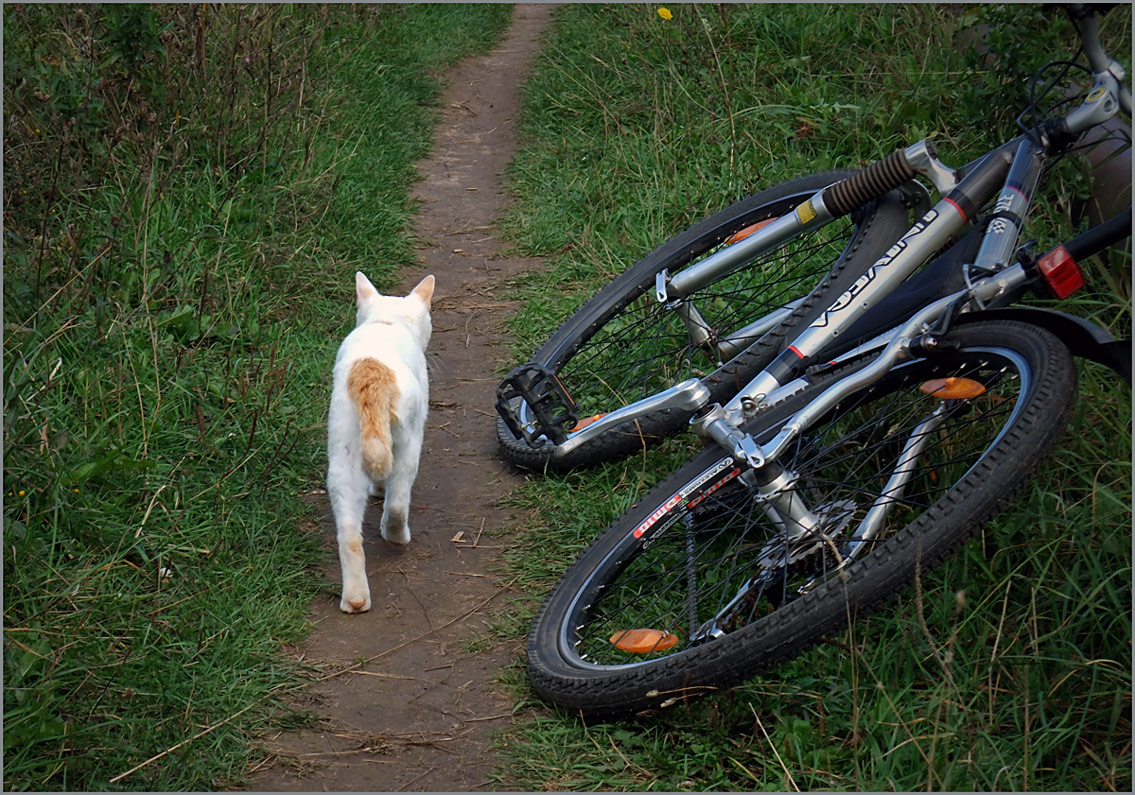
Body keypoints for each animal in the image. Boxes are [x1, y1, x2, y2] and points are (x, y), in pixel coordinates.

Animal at [331, 273, 435, 613]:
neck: (386, 322)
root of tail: (371, 372)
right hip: (409, 443)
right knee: (398, 502)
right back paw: (397, 536)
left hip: (342, 460)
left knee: (349, 535)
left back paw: (355, 599)